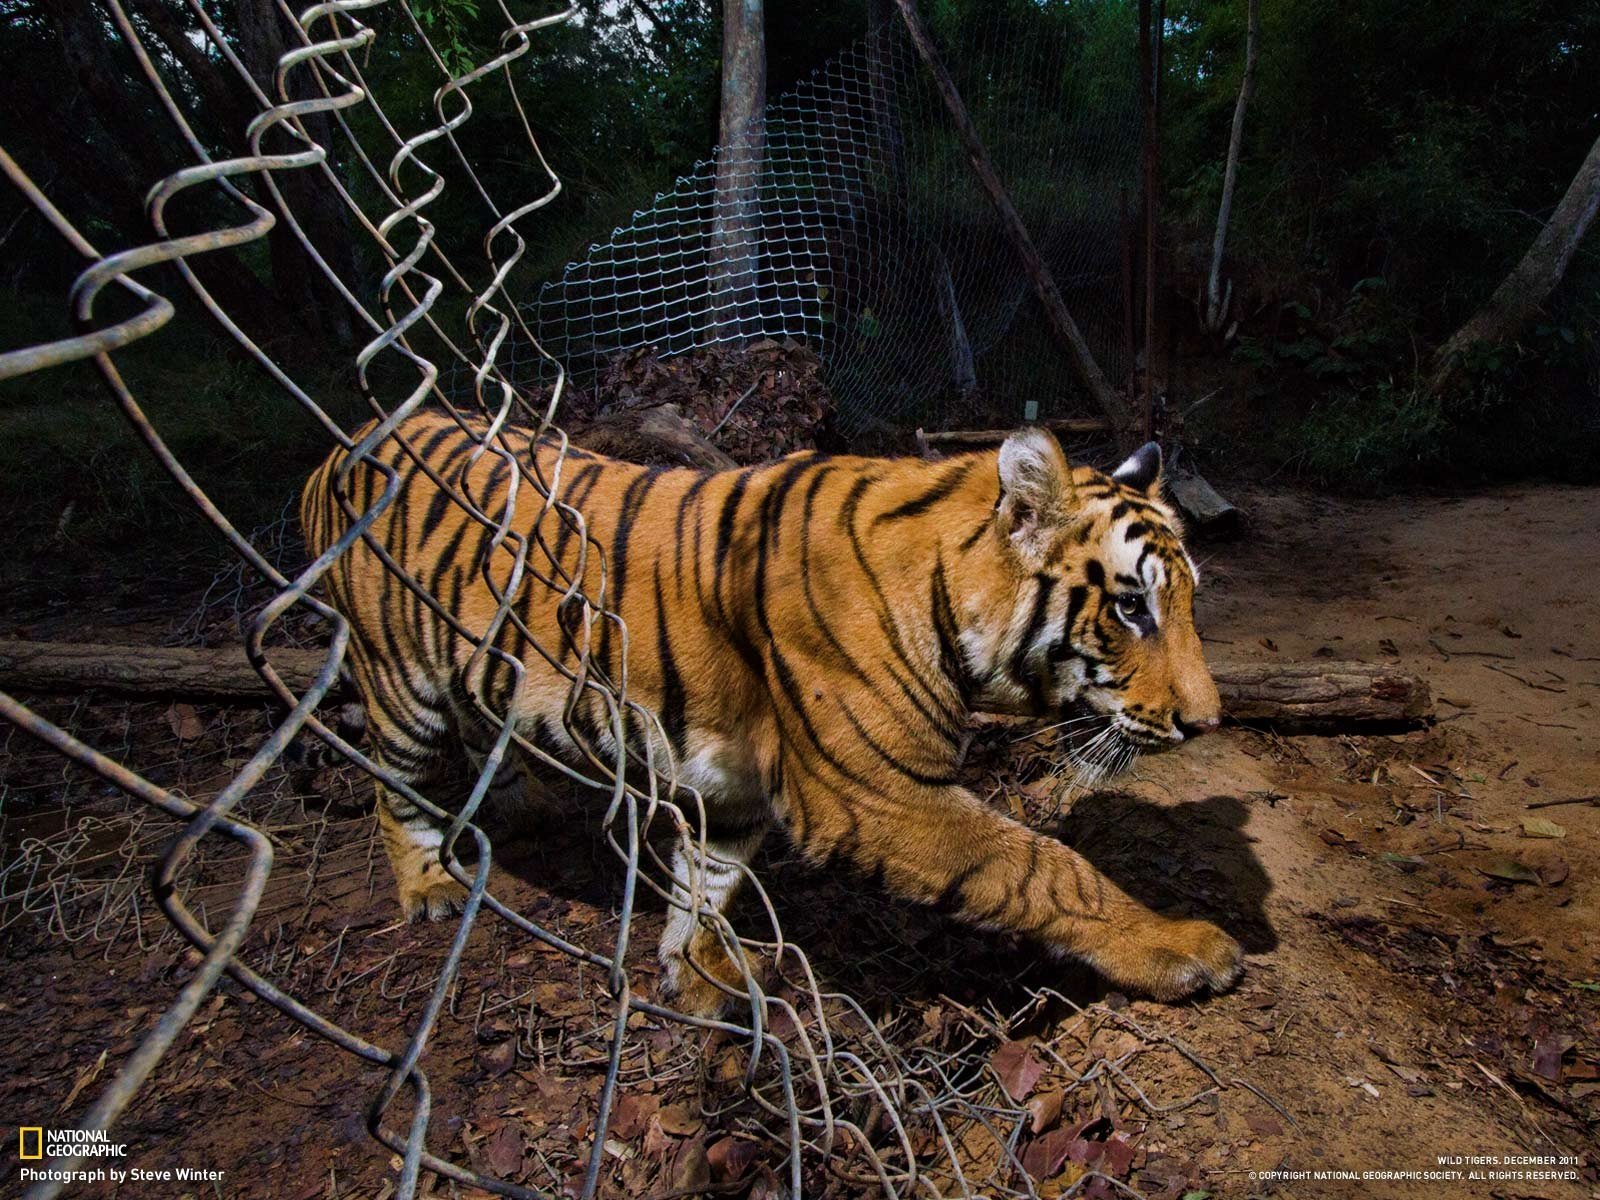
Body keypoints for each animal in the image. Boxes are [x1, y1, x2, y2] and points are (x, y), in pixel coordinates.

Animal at [299, 411, 1243, 1016]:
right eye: (1131, 609)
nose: (1207, 723)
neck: (945, 589)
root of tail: (340, 449)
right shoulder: (874, 795)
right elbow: (1044, 866)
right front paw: (1181, 945)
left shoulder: (732, 784)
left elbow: (709, 880)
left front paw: (697, 970)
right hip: (398, 681)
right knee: (394, 783)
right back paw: (428, 886)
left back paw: (520, 800)